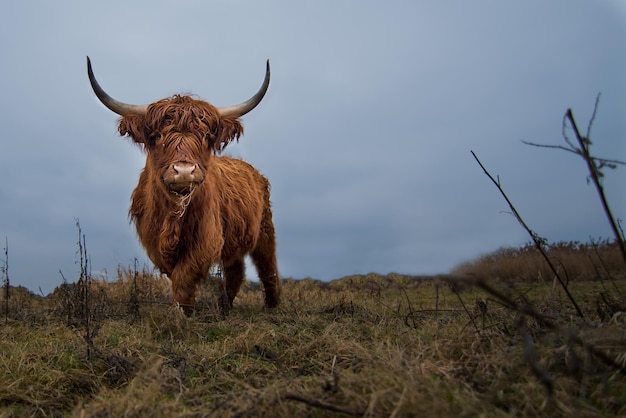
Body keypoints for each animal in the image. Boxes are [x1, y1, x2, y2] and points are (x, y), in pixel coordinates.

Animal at [86, 58, 282, 314]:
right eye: (158, 135)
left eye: (207, 136)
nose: (184, 171)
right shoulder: (153, 240)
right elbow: (175, 274)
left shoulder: (206, 239)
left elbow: (184, 277)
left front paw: (181, 314)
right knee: (235, 270)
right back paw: (223, 308)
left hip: (265, 229)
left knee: (267, 267)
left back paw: (272, 306)